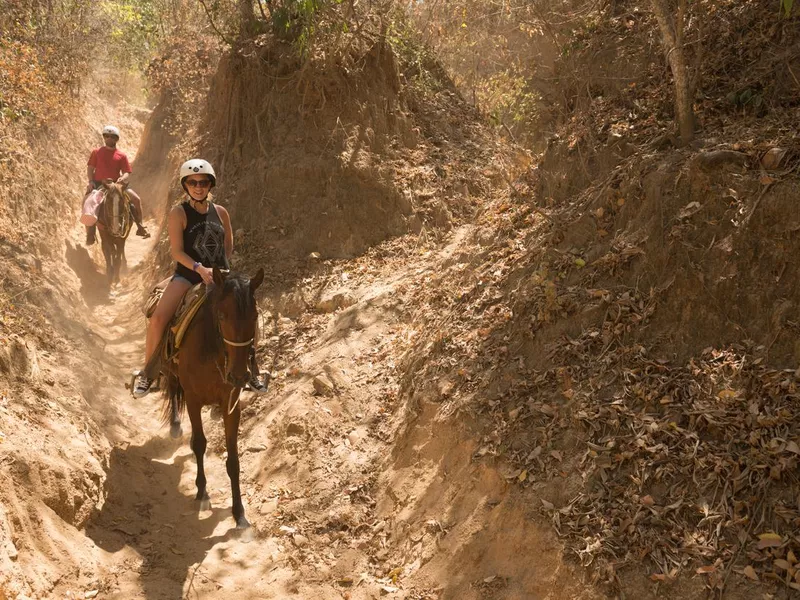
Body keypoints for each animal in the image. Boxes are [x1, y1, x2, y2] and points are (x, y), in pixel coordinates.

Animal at [162, 268, 266, 528]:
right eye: (221, 315)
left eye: (255, 316)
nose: (239, 375)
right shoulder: (193, 399)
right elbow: (200, 444)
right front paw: (202, 494)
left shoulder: (231, 405)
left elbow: (234, 460)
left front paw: (239, 513)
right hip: (169, 369)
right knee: (171, 386)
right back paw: (175, 425)